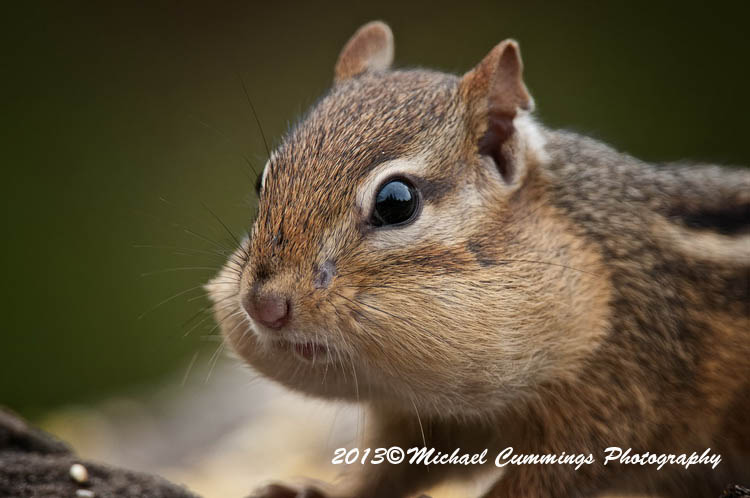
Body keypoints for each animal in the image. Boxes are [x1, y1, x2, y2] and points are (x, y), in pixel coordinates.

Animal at [207, 21, 750, 498]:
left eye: (396, 202)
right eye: (262, 182)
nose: (265, 306)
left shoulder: (619, 397)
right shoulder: (427, 418)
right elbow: (392, 470)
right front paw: (311, 490)